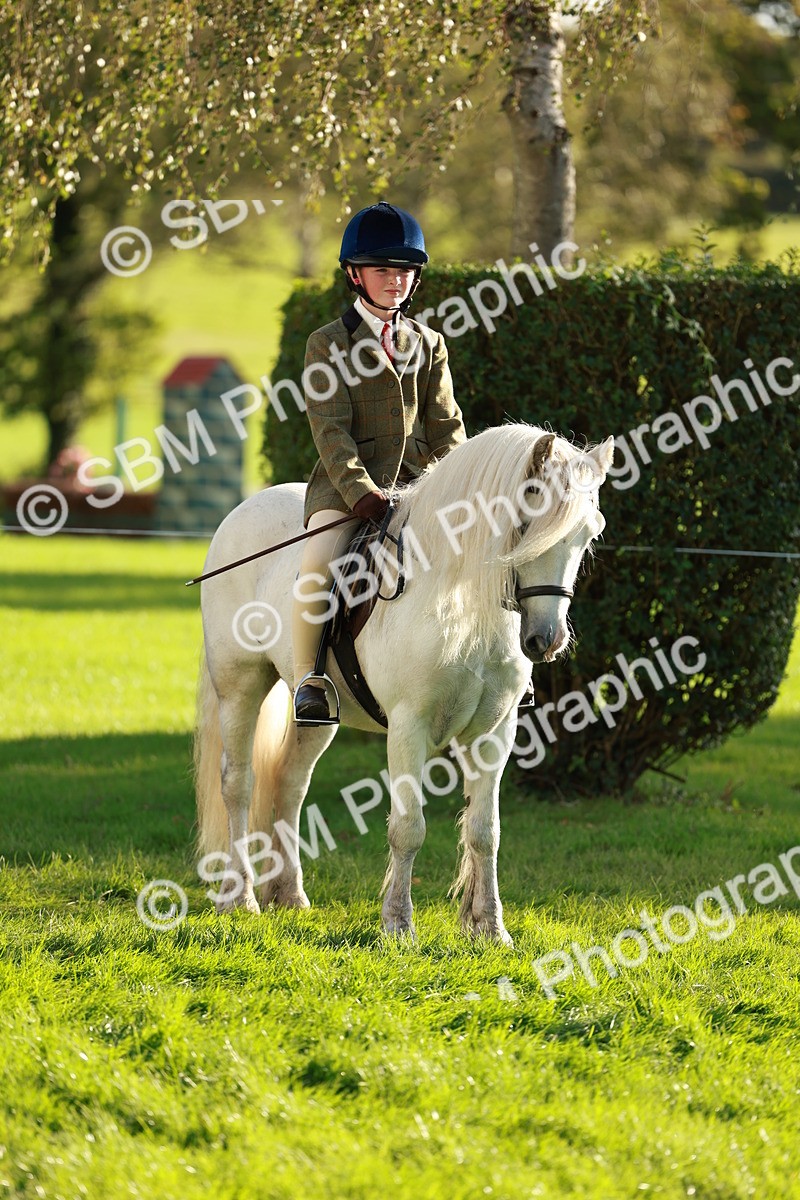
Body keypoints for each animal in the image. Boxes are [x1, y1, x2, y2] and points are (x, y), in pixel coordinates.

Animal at [194, 423, 614, 944]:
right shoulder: (408, 726)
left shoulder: (494, 731)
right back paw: (241, 897)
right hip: (240, 687)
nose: (546, 639)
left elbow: (485, 831)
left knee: (290, 782)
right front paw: (397, 924)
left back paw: (289, 895)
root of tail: (242, 510)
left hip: (317, 711)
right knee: (238, 784)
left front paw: (489, 927)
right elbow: (408, 827)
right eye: (526, 525)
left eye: (588, 534)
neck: (459, 599)